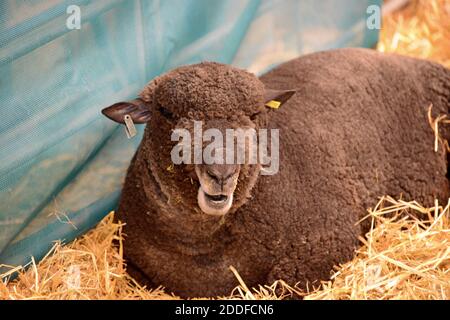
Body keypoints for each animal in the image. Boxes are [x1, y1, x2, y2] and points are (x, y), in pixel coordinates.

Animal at [102, 47, 450, 298]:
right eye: (166, 112)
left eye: (255, 114)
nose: (221, 173)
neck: (203, 247)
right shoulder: (133, 266)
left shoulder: (321, 247)